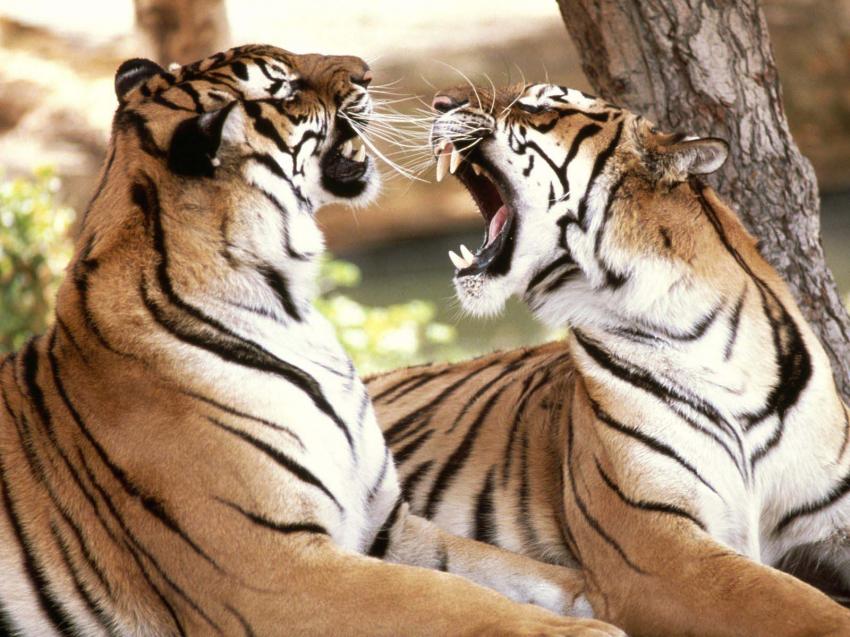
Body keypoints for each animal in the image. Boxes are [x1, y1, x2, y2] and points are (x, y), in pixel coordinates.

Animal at [0, 50, 626, 637]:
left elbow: (515, 572)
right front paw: (583, 630)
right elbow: (454, 598)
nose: (367, 71)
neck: (290, 303)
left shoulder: (385, 527)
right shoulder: (271, 568)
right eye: (285, 88)